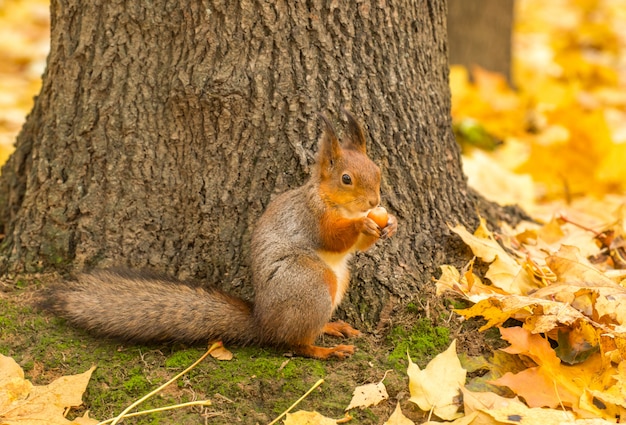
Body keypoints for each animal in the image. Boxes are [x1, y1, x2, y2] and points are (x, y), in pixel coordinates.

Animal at [42, 111, 394, 360]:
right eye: (346, 179)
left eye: (377, 170)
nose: (374, 202)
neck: (339, 206)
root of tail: (263, 323)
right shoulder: (311, 217)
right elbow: (333, 237)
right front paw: (363, 226)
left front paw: (389, 225)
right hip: (310, 282)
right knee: (295, 343)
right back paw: (325, 350)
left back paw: (333, 327)